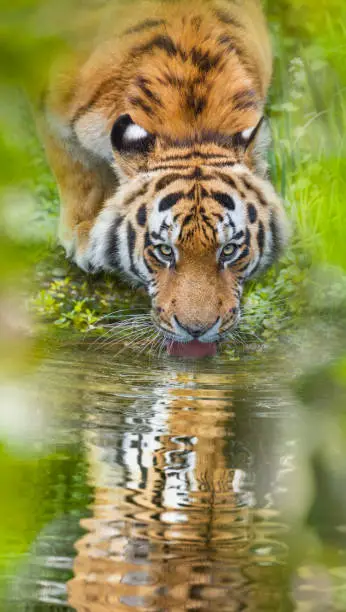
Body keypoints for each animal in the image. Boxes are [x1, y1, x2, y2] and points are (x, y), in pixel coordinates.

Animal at [40, 0, 290, 358]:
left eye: (229, 250)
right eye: (164, 251)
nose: (196, 330)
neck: (191, 125)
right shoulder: (51, 107)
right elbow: (76, 170)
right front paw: (84, 238)